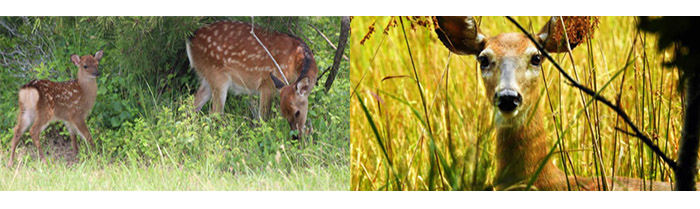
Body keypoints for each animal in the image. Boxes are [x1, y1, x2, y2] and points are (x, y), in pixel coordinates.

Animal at [186, 20, 318, 139]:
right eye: (286, 113)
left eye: (296, 112)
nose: (296, 137)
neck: (295, 59)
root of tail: (190, 39)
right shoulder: (267, 84)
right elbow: (263, 117)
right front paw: (262, 136)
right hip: (218, 76)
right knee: (215, 113)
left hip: (207, 78)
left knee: (193, 106)